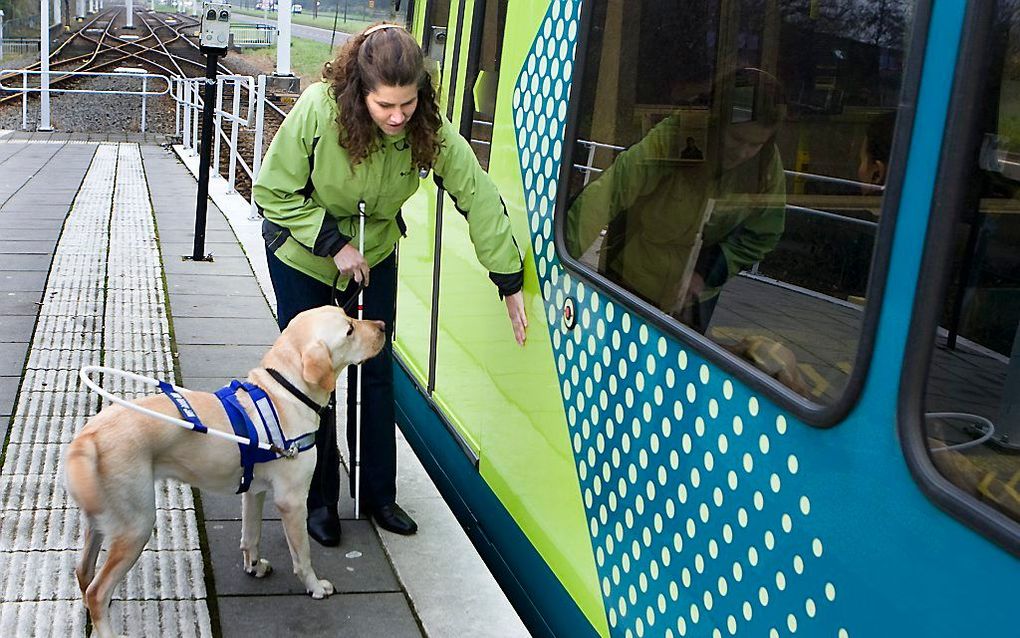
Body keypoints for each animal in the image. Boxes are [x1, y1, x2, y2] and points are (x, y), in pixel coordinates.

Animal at [63, 306, 383, 632]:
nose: (383, 325)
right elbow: (302, 555)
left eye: (349, 315)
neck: (285, 394)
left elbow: (250, 536)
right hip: (136, 526)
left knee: (83, 573)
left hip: (100, 521)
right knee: (97, 591)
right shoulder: (292, 502)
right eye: (349, 330)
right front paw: (315, 587)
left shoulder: (254, 492)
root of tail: (88, 437)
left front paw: (254, 567)